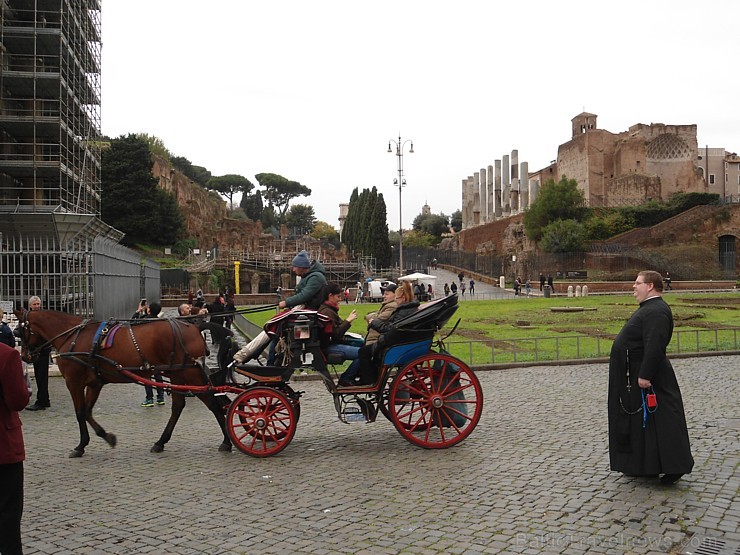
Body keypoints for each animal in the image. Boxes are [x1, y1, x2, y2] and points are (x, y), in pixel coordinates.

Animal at [15, 306, 234, 458]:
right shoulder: (95, 383)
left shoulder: (74, 382)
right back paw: (161, 442)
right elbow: (87, 411)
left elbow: (80, 412)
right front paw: (106, 436)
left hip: (189, 374)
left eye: (19, 331)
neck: (73, 336)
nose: (24, 356)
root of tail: (195, 326)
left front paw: (81, 445)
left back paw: (227, 441)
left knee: (213, 402)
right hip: (178, 375)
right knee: (180, 406)